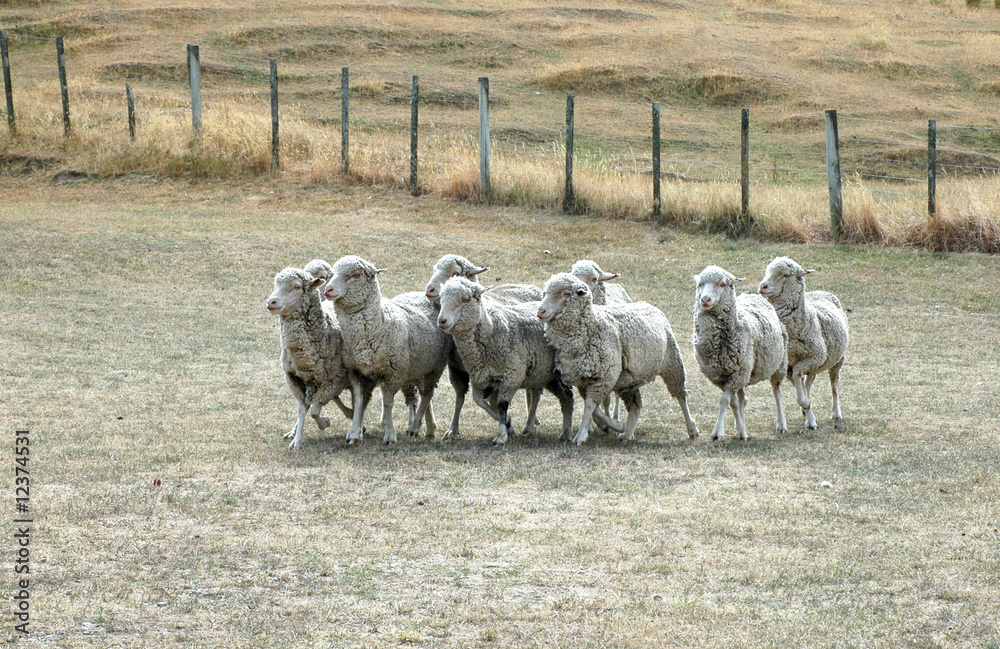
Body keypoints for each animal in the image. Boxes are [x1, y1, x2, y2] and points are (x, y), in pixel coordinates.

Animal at [324, 255, 451, 445]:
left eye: (355, 275)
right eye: (333, 272)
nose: (328, 289)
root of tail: (420, 294)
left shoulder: (393, 373)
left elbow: (388, 403)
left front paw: (390, 434)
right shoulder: (356, 372)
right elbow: (359, 402)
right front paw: (354, 433)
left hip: (435, 366)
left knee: (427, 395)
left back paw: (417, 428)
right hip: (417, 368)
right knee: (424, 396)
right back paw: (426, 428)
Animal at [437, 277, 574, 445]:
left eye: (465, 299)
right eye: (441, 299)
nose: (442, 320)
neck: (491, 330)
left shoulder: (512, 376)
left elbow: (502, 405)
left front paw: (502, 435)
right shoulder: (480, 376)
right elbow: (479, 401)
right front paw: (508, 424)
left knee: (565, 396)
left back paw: (565, 432)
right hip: (543, 374)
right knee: (558, 396)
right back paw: (554, 431)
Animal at [537, 273, 699, 446]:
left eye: (566, 293)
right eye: (545, 293)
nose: (540, 311)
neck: (591, 324)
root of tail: (647, 304)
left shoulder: (603, 377)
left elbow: (589, 407)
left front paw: (580, 436)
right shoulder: (584, 379)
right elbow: (595, 409)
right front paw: (614, 425)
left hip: (672, 362)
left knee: (681, 396)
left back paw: (692, 429)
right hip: (630, 379)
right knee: (635, 405)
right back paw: (627, 433)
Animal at [692, 266, 788, 441]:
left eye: (723, 284)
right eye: (700, 284)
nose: (705, 300)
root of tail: (752, 294)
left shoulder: (736, 374)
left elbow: (724, 401)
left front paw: (717, 432)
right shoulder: (723, 376)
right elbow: (733, 403)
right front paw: (740, 430)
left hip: (778, 364)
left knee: (777, 392)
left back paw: (782, 424)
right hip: (745, 372)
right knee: (743, 399)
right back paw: (740, 428)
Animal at [757, 256, 849, 430]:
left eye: (786, 274)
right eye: (767, 271)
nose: (762, 286)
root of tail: (820, 291)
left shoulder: (814, 357)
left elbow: (798, 377)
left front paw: (807, 409)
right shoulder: (788, 365)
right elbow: (797, 382)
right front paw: (807, 413)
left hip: (837, 360)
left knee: (834, 384)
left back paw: (836, 412)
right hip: (815, 365)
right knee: (808, 381)